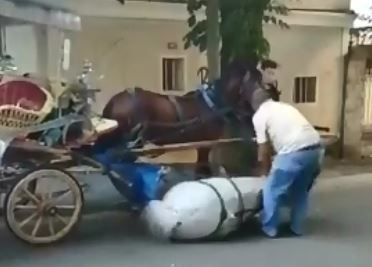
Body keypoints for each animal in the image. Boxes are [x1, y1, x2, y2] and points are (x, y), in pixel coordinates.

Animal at [93, 60, 262, 178]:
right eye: (256, 83)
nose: (252, 113)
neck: (212, 104)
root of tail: (114, 101)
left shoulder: (201, 145)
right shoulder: (205, 144)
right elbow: (201, 172)